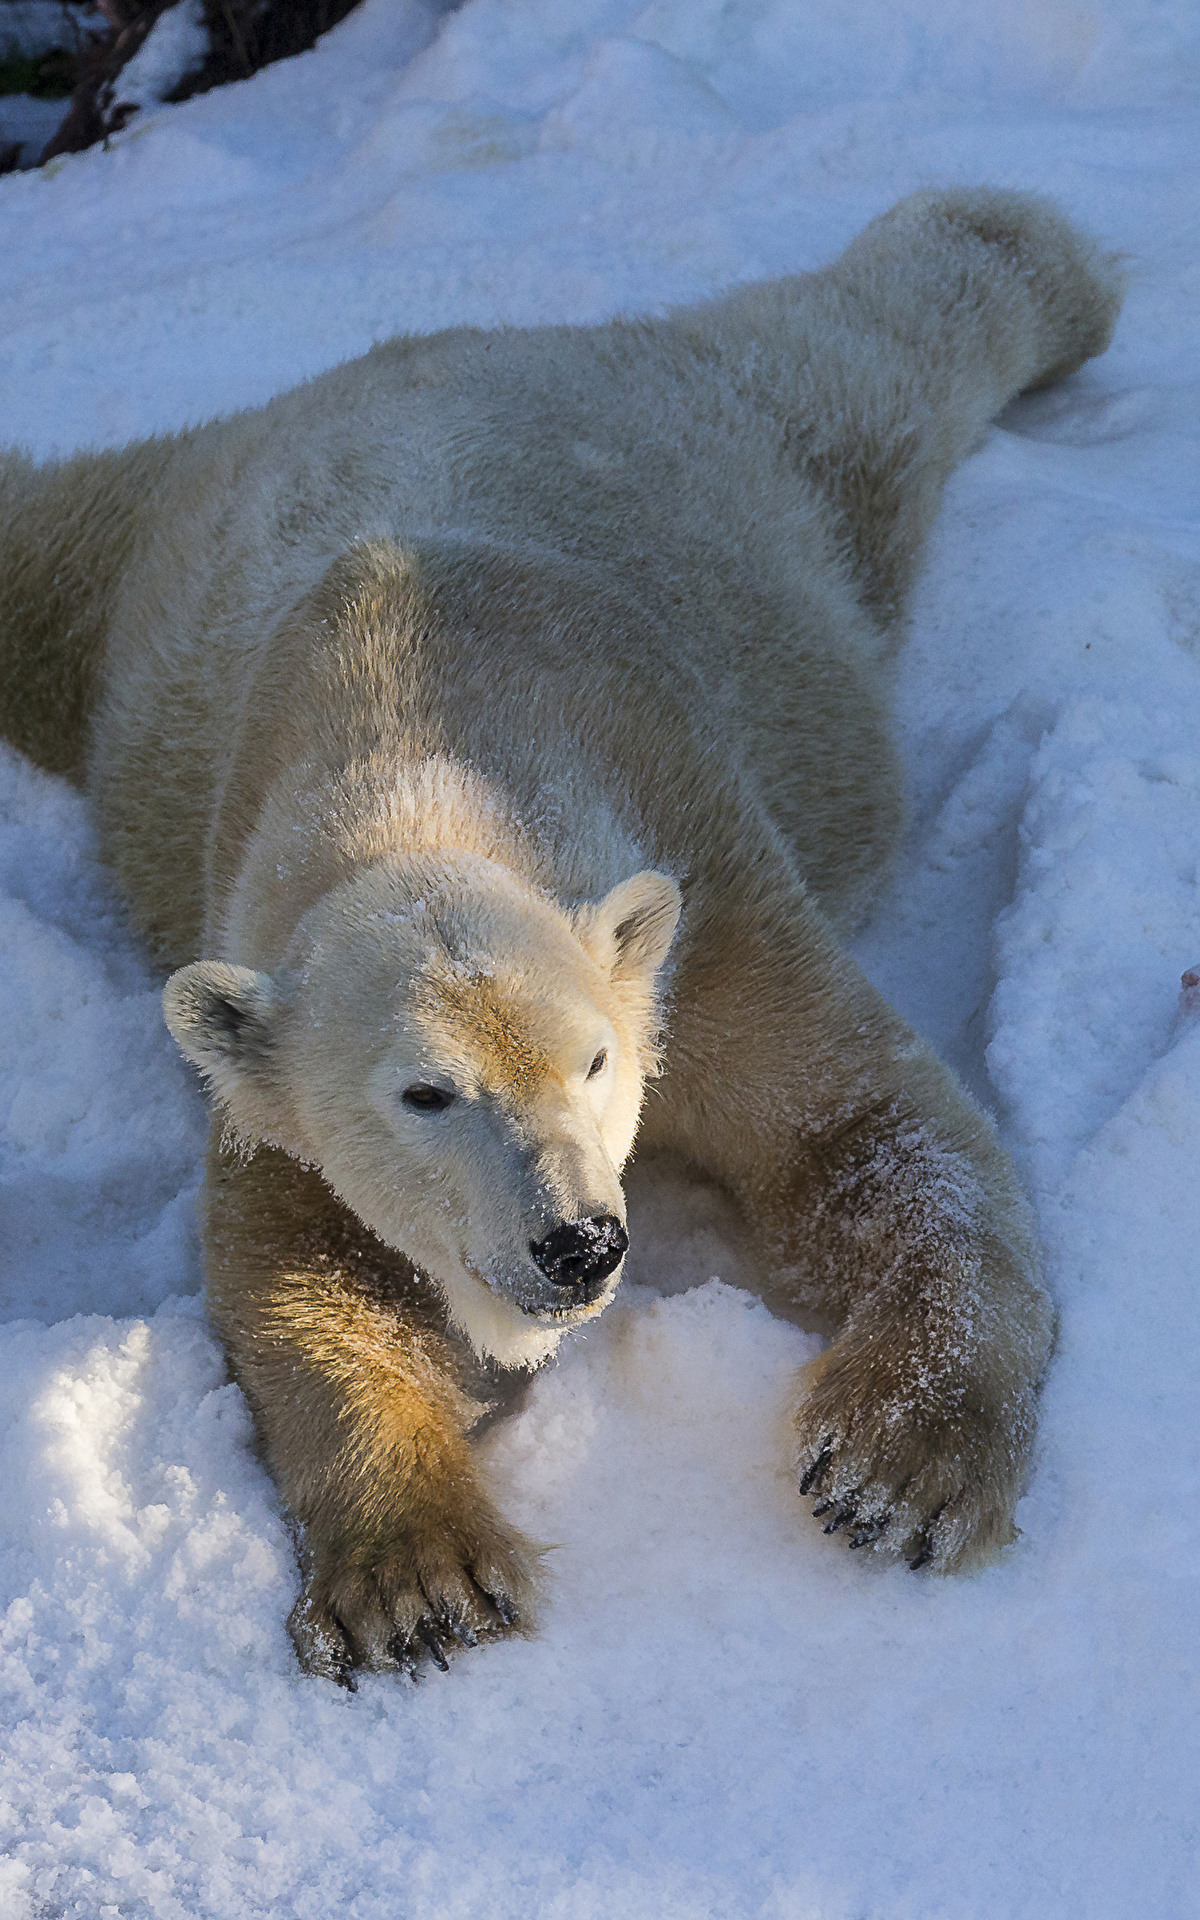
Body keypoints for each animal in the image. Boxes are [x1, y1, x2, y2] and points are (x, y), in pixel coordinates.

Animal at [2, 187, 1121, 1674]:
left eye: (596, 1062)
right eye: (426, 1094)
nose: (578, 1243)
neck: (419, 732)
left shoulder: (705, 896)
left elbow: (869, 1131)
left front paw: (901, 1469)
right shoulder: (257, 1025)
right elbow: (302, 1263)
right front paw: (417, 1581)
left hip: (733, 460)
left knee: (878, 353)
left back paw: (1028, 254)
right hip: (158, 581)